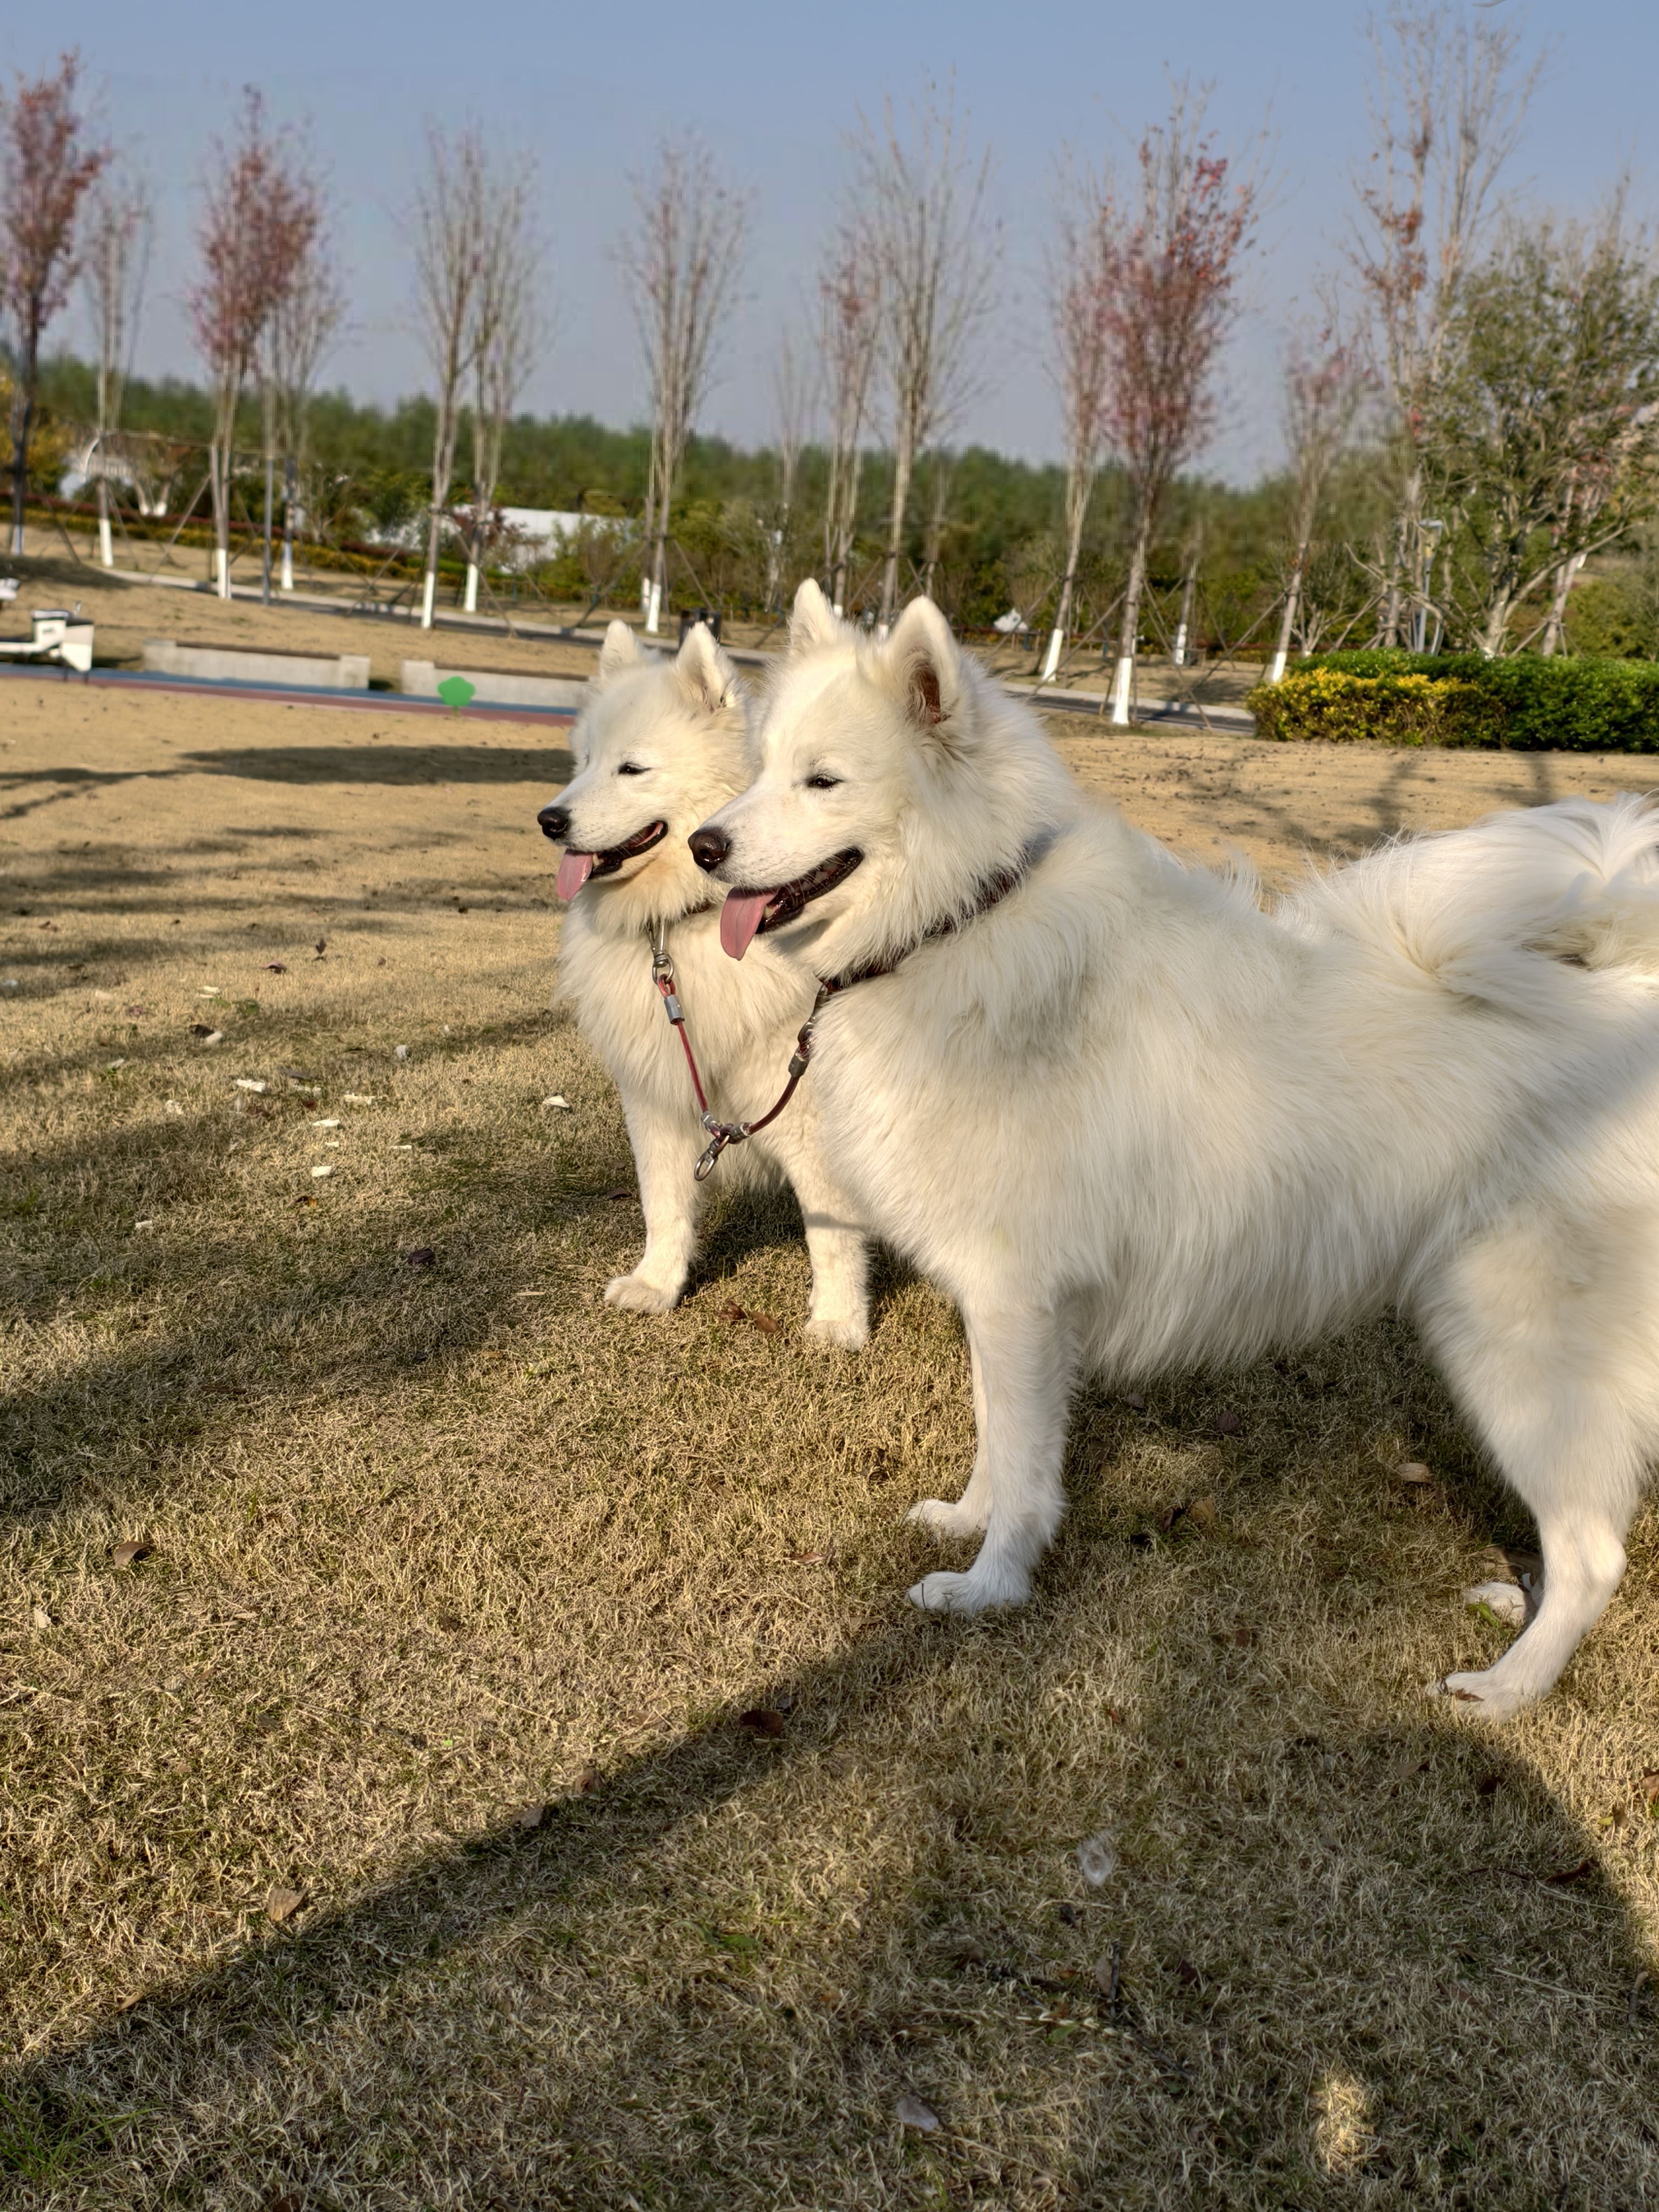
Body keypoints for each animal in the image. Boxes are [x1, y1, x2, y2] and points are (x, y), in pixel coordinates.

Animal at [541, 617, 868, 1346]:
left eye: (632, 768)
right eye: (583, 764)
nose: (550, 820)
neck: (685, 921)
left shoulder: (803, 1109)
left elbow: (831, 1233)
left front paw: (839, 1321)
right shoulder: (658, 1097)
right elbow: (664, 1205)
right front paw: (658, 1285)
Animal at [688, 578, 1659, 1718]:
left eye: (822, 780)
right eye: (758, 769)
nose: (702, 846)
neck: (961, 919)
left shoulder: (1021, 1296)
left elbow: (1025, 1462)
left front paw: (990, 1585)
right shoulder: (1001, 1303)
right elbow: (997, 1437)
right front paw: (969, 1521)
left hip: (1517, 1355)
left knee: (1596, 1552)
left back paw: (1505, 1689)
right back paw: (1514, 1602)